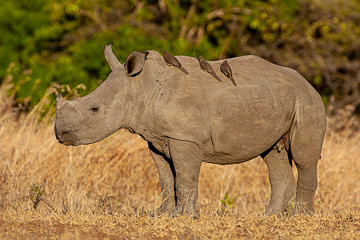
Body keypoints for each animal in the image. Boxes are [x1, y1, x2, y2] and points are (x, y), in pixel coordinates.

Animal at [55, 43, 326, 218]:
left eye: (94, 109)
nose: (60, 135)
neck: (140, 86)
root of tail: (308, 83)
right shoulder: (157, 138)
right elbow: (166, 179)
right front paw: (160, 215)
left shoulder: (184, 137)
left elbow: (184, 177)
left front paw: (184, 216)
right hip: (277, 100)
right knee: (273, 154)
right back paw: (268, 217)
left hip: (307, 101)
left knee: (303, 158)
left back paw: (300, 217)